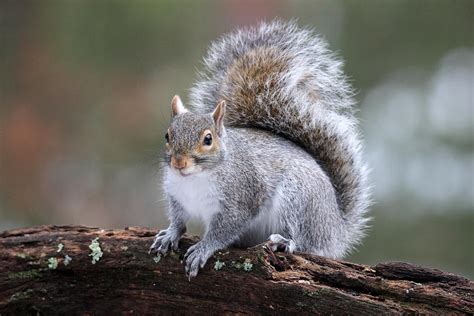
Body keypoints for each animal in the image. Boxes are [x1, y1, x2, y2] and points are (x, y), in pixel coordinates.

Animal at [150, 19, 372, 278]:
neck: (195, 179)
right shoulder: (177, 195)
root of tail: (336, 228)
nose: (179, 163)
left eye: (208, 139)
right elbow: (178, 219)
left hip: (298, 199)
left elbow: (223, 230)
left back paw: (286, 242)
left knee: (307, 242)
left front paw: (203, 248)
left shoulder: (241, 200)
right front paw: (169, 234)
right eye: (168, 135)